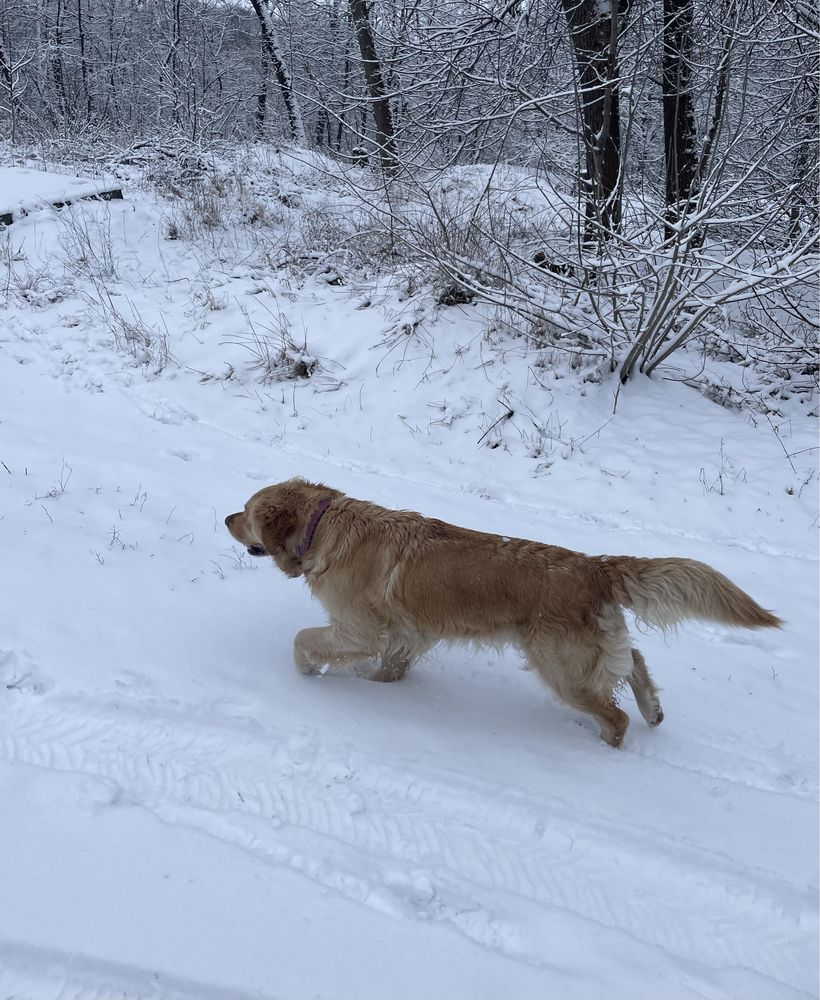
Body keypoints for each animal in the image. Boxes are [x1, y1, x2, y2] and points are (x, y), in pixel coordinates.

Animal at [224, 480, 780, 748]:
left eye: (246, 511)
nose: (225, 516)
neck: (324, 525)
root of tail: (594, 565)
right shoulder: (407, 635)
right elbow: (389, 671)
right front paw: (378, 690)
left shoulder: (362, 629)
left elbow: (303, 639)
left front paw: (306, 674)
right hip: (591, 648)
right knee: (636, 662)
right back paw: (654, 710)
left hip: (561, 668)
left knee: (615, 713)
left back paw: (607, 748)